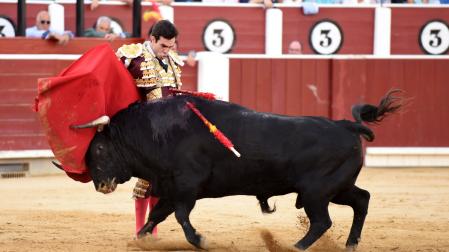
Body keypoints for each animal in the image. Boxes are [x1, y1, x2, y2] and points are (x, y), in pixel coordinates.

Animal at [76, 89, 400, 249]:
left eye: (100, 149)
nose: (100, 184)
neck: (157, 133)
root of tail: (345, 125)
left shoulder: (186, 186)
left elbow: (181, 216)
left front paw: (200, 240)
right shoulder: (170, 187)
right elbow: (156, 214)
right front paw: (140, 239)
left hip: (316, 192)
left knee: (322, 221)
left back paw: (295, 247)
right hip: (337, 188)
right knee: (362, 199)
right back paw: (351, 244)